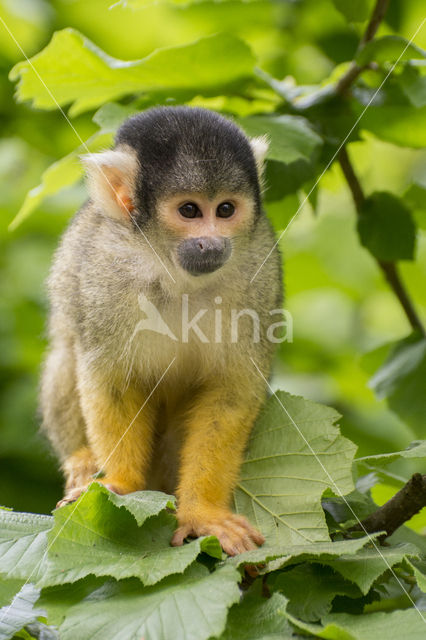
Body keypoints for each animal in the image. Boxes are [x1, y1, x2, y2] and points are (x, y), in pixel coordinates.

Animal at [39, 106, 280, 556]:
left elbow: (231, 390)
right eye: (189, 211)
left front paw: (203, 512)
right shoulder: (105, 270)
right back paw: (82, 460)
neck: (174, 273)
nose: (212, 244)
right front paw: (121, 484)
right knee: (68, 349)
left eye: (225, 209)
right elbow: (111, 379)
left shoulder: (260, 268)